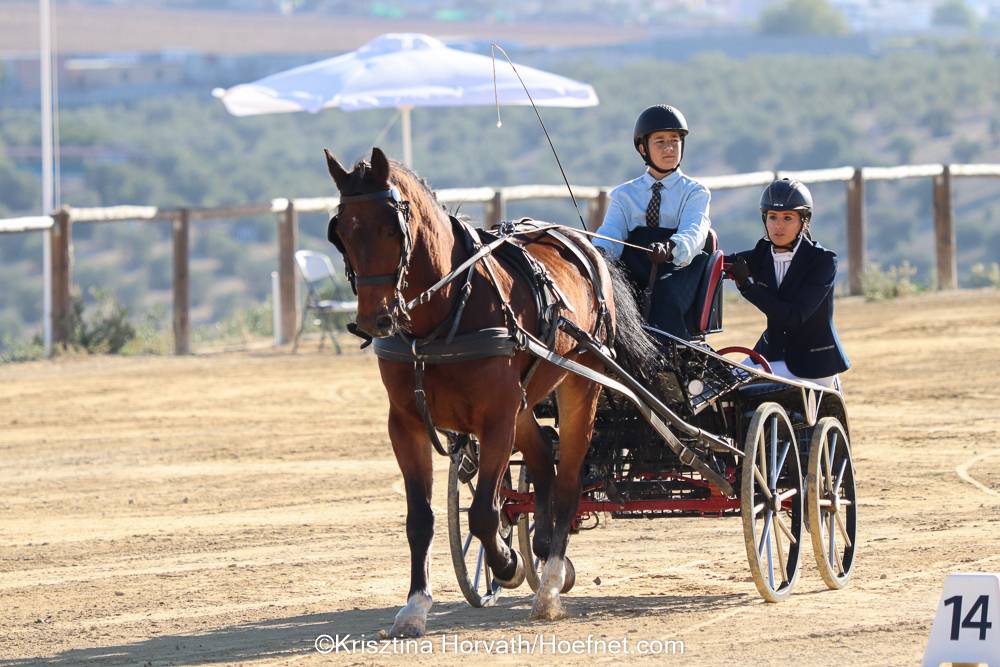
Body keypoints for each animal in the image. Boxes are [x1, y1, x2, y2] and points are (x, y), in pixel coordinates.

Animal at [324, 146, 652, 636]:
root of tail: (582, 244)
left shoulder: (495, 418)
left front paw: (507, 563)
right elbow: (421, 518)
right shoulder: (405, 423)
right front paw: (415, 606)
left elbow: (483, 512)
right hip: (525, 403)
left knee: (569, 482)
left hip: (581, 383)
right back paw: (544, 550)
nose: (373, 320)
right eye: (341, 232)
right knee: (544, 465)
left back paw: (549, 583)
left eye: (390, 228)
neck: (443, 317)